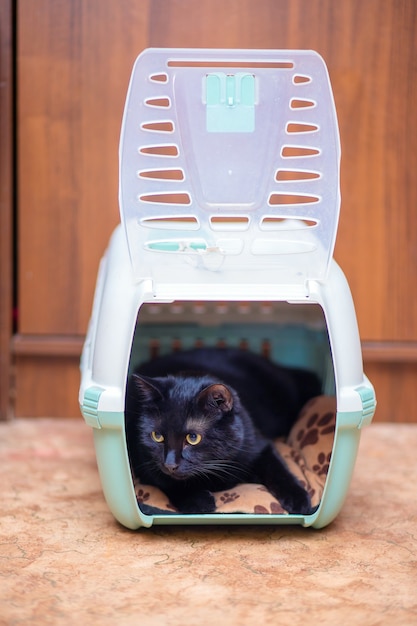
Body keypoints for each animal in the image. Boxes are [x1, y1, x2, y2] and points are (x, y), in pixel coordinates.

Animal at [123, 346, 318, 512]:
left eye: (193, 438)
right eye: (157, 436)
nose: (170, 464)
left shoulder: (258, 445)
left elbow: (277, 468)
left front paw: (299, 499)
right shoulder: (144, 461)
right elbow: (167, 481)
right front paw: (198, 502)